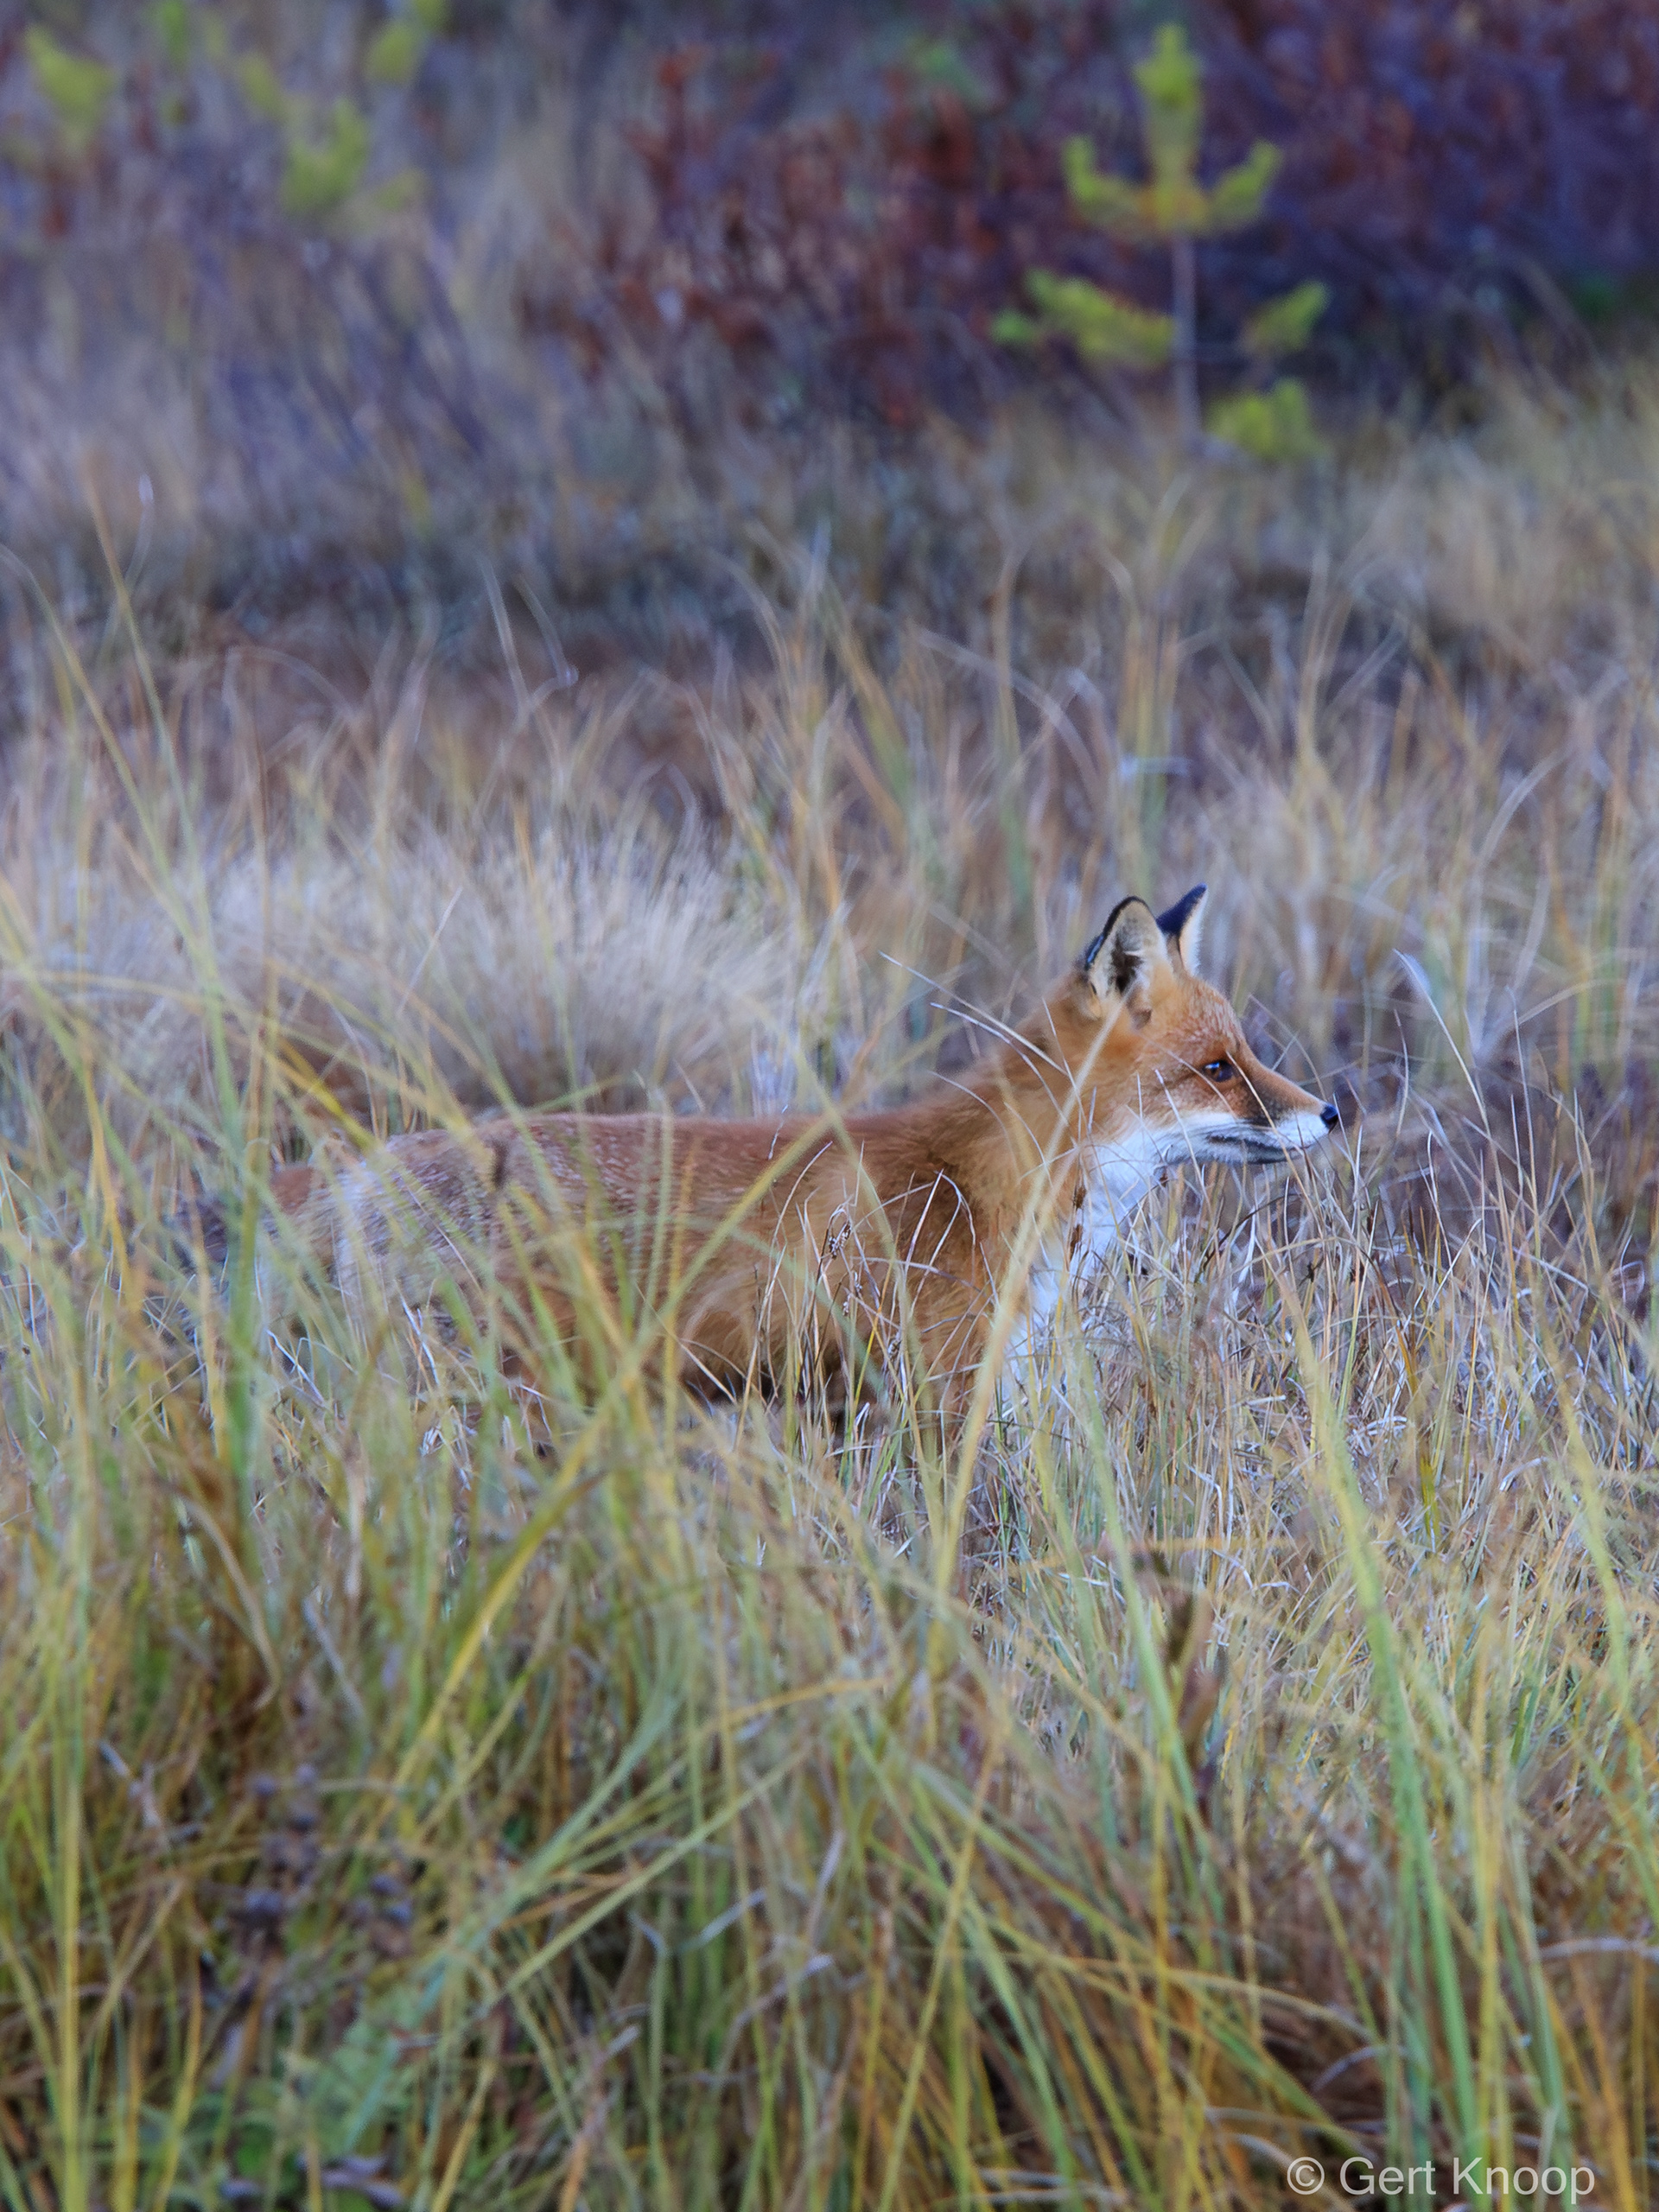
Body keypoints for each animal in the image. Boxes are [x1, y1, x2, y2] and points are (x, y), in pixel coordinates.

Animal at [248, 885, 1338, 1421]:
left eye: (1249, 1053)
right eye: (1216, 1068)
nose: (1330, 1110)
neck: (984, 1183)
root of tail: (362, 1170)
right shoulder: (928, 1402)